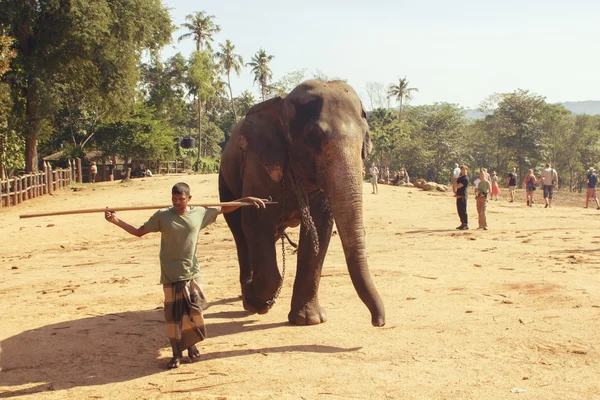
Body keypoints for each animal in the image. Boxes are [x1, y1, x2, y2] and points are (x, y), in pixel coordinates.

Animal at [219, 79, 384, 326]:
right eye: (313, 136)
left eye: (364, 137)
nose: (378, 321)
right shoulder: (257, 164)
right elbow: (255, 220)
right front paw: (260, 303)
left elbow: (320, 227)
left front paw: (310, 319)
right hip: (225, 182)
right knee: (239, 231)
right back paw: (248, 296)